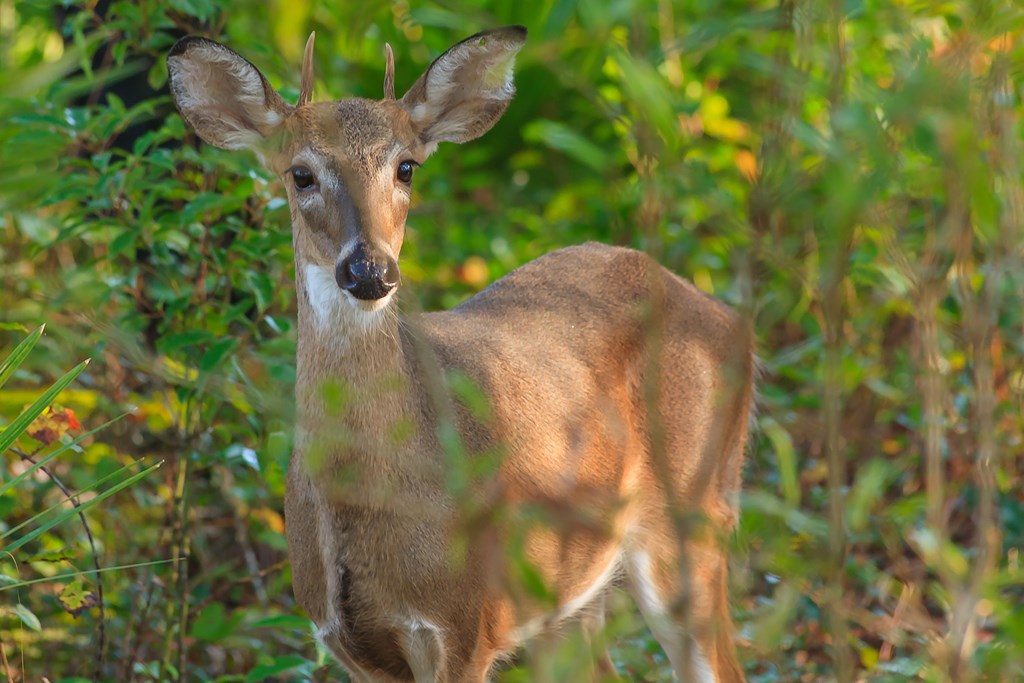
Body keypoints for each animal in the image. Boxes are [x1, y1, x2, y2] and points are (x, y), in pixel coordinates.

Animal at [167, 25, 753, 683]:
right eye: (300, 174)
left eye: (407, 167)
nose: (369, 270)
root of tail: (725, 316)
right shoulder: (347, 643)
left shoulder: (466, 628)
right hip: (572, 594)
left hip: (698, 515)